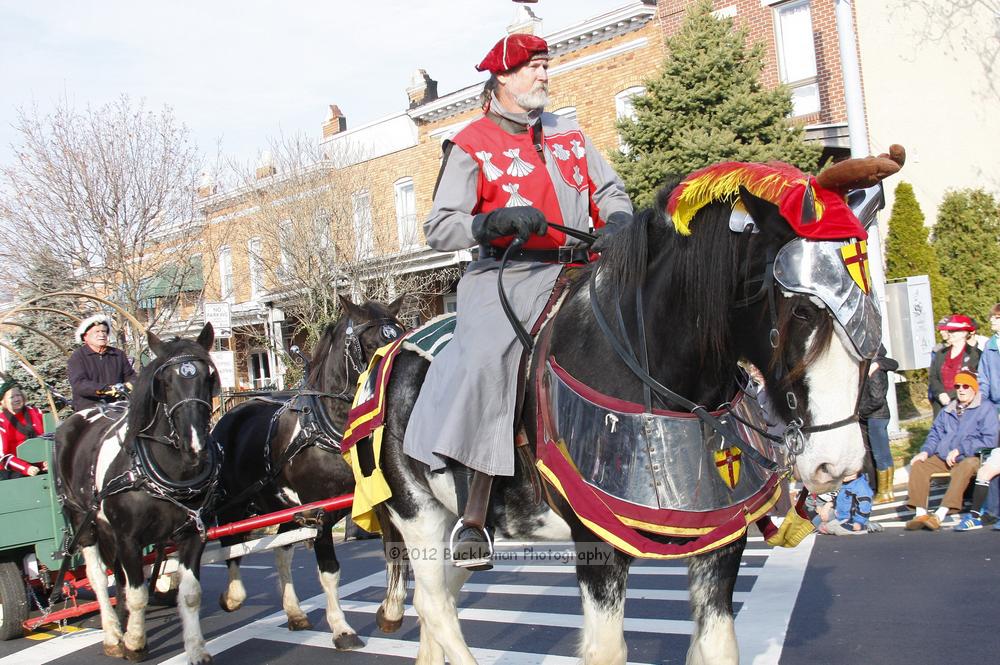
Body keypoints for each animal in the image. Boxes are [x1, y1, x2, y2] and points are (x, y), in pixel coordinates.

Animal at [56, 326, 219, 664]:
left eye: (208, 376)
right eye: (164, 382)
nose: (195, 446)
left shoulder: (193, 533)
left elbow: (190, 594)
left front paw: (196, 649)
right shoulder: (128, 538)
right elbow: (138, 594)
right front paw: (134, 642)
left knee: (117, 575)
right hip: (82, 521)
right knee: (97, 576)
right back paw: (112, 635)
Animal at [214, 296, 402, 648]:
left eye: (402, 334)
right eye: (372, 345)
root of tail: (230, 414)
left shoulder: (374, 502)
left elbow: (394, 552)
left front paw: (390, 613)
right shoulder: (318, 513)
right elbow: (329, 570)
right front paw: (342, 628)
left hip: (282, 507)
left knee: (281, 550)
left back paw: (295, 612)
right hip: (233, 504)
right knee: (230, 544)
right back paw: (229, 597)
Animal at [370, 172, 892, 664]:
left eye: (869, 310)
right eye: (802, 310)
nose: (840, 463)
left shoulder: (720, 537)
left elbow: (717, 647)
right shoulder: (597, 544)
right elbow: (607, 649)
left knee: (439, 600)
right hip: (416, 512)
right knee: (434, 604)